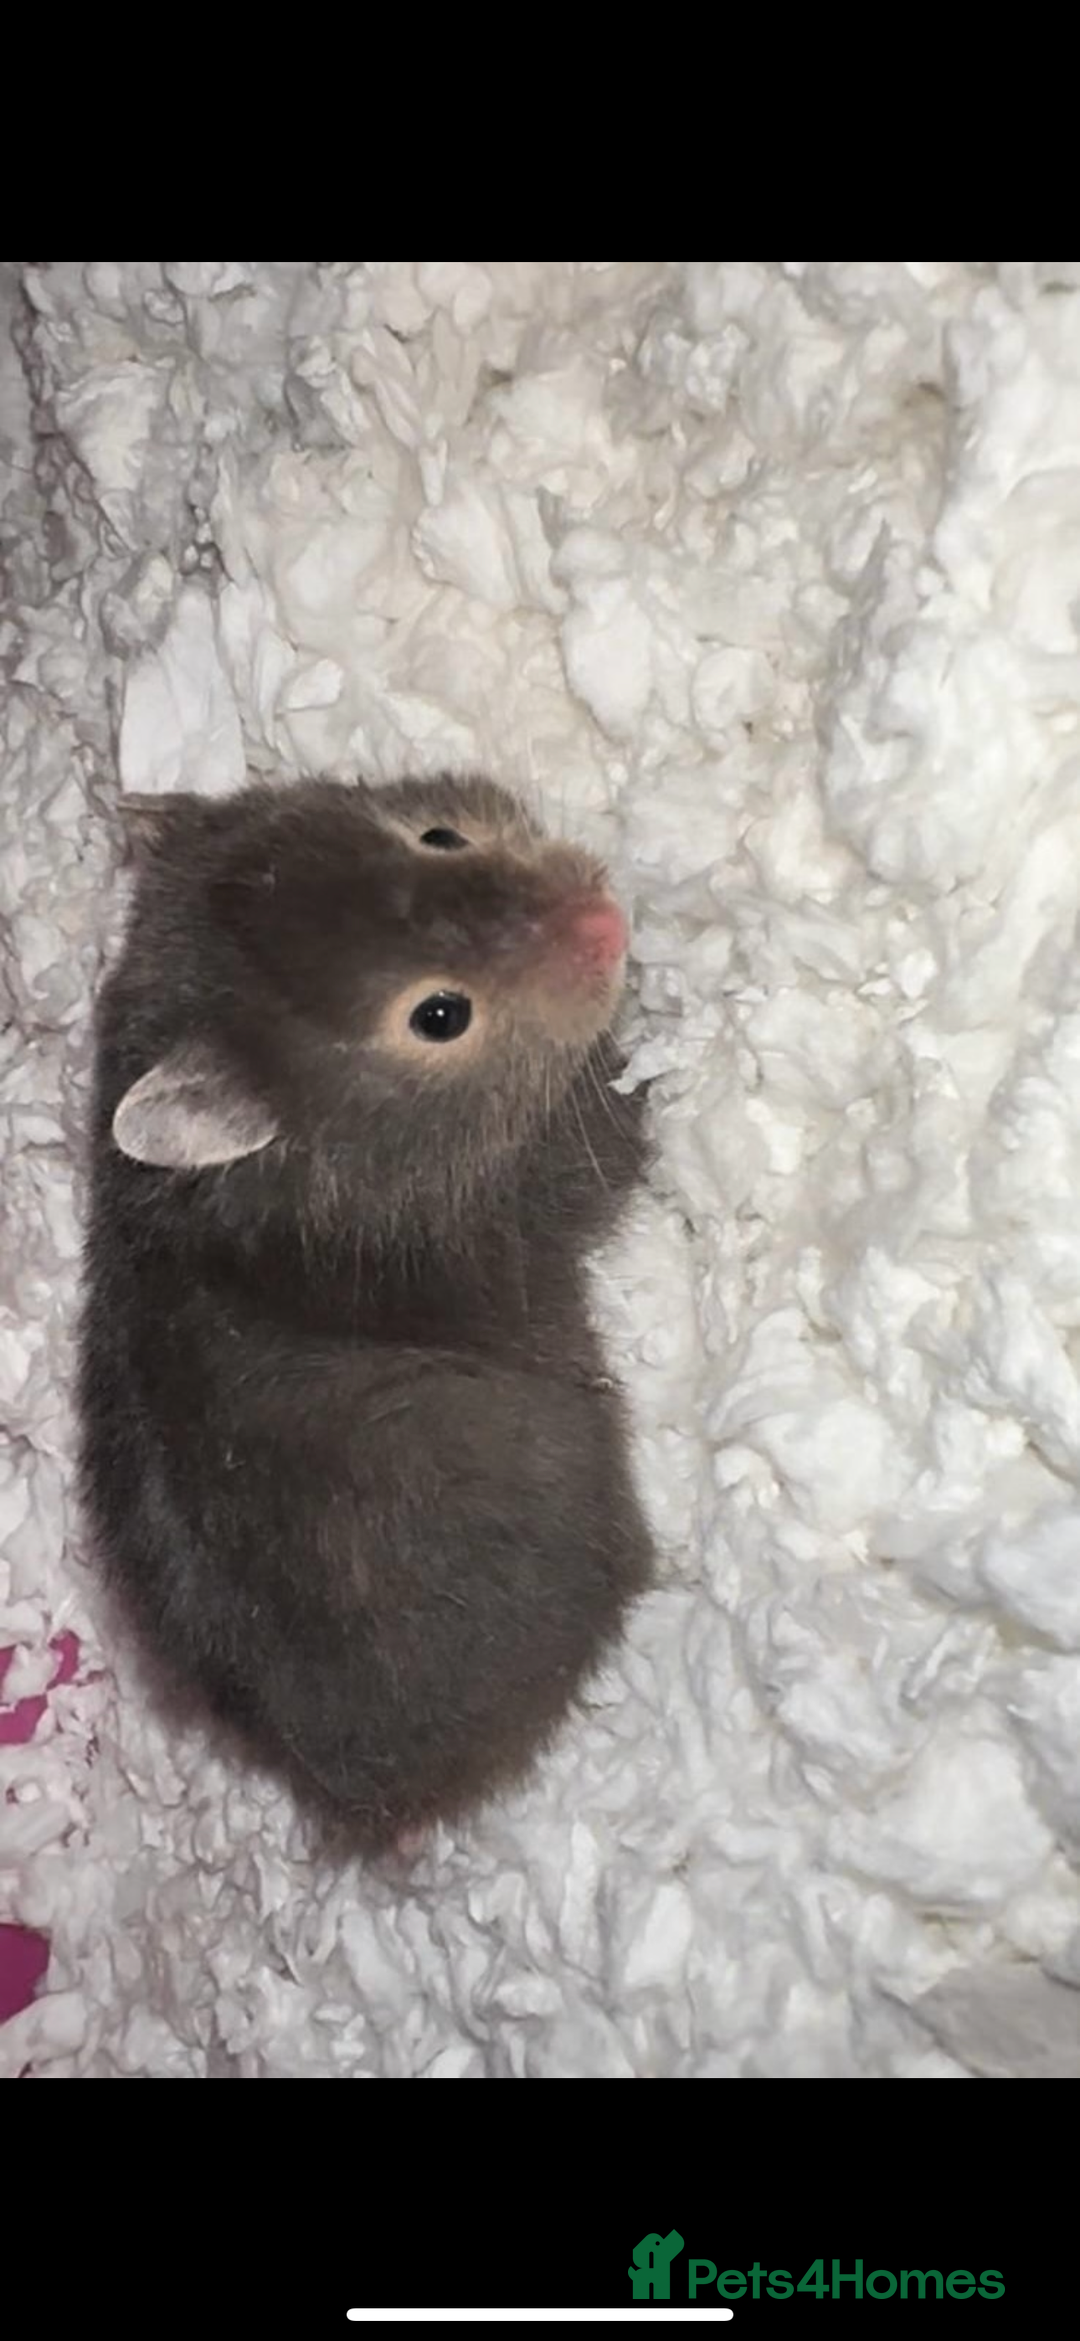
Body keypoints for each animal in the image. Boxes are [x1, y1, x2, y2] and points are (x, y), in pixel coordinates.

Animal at [78, 775, 654, 1853]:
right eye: (440, 1013)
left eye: (439, 836)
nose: (607, 917)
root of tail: (380, 1799)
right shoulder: (550, 1174)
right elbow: (624, 1140)